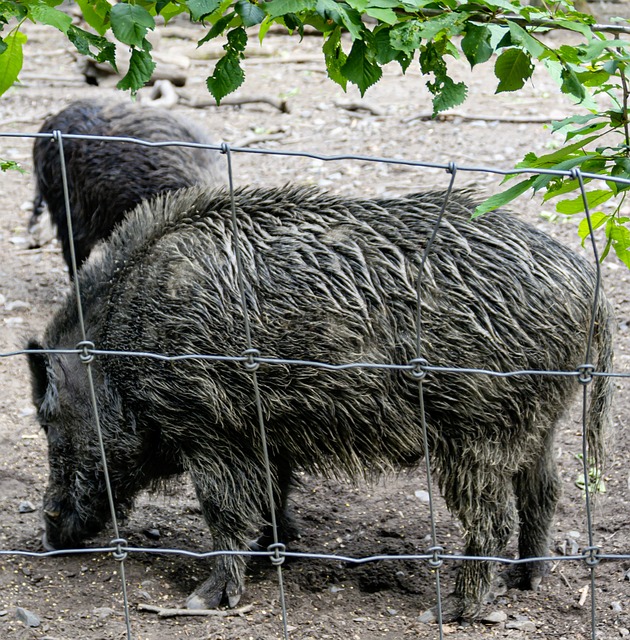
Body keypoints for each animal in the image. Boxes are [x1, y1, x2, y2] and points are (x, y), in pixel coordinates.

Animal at [27, 184, 614, 621]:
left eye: (49, 419)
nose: (49, 533)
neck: (121, 347)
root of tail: (587, 282)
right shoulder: (263, 433)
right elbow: (273, 495)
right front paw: (278, 552)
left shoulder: (210, 428)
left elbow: (225, 510)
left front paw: (202, 601)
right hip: (541, 421)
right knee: (545, 491)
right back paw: (527, 579)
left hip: (478, 431)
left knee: (492, 519)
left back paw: (451, 611)